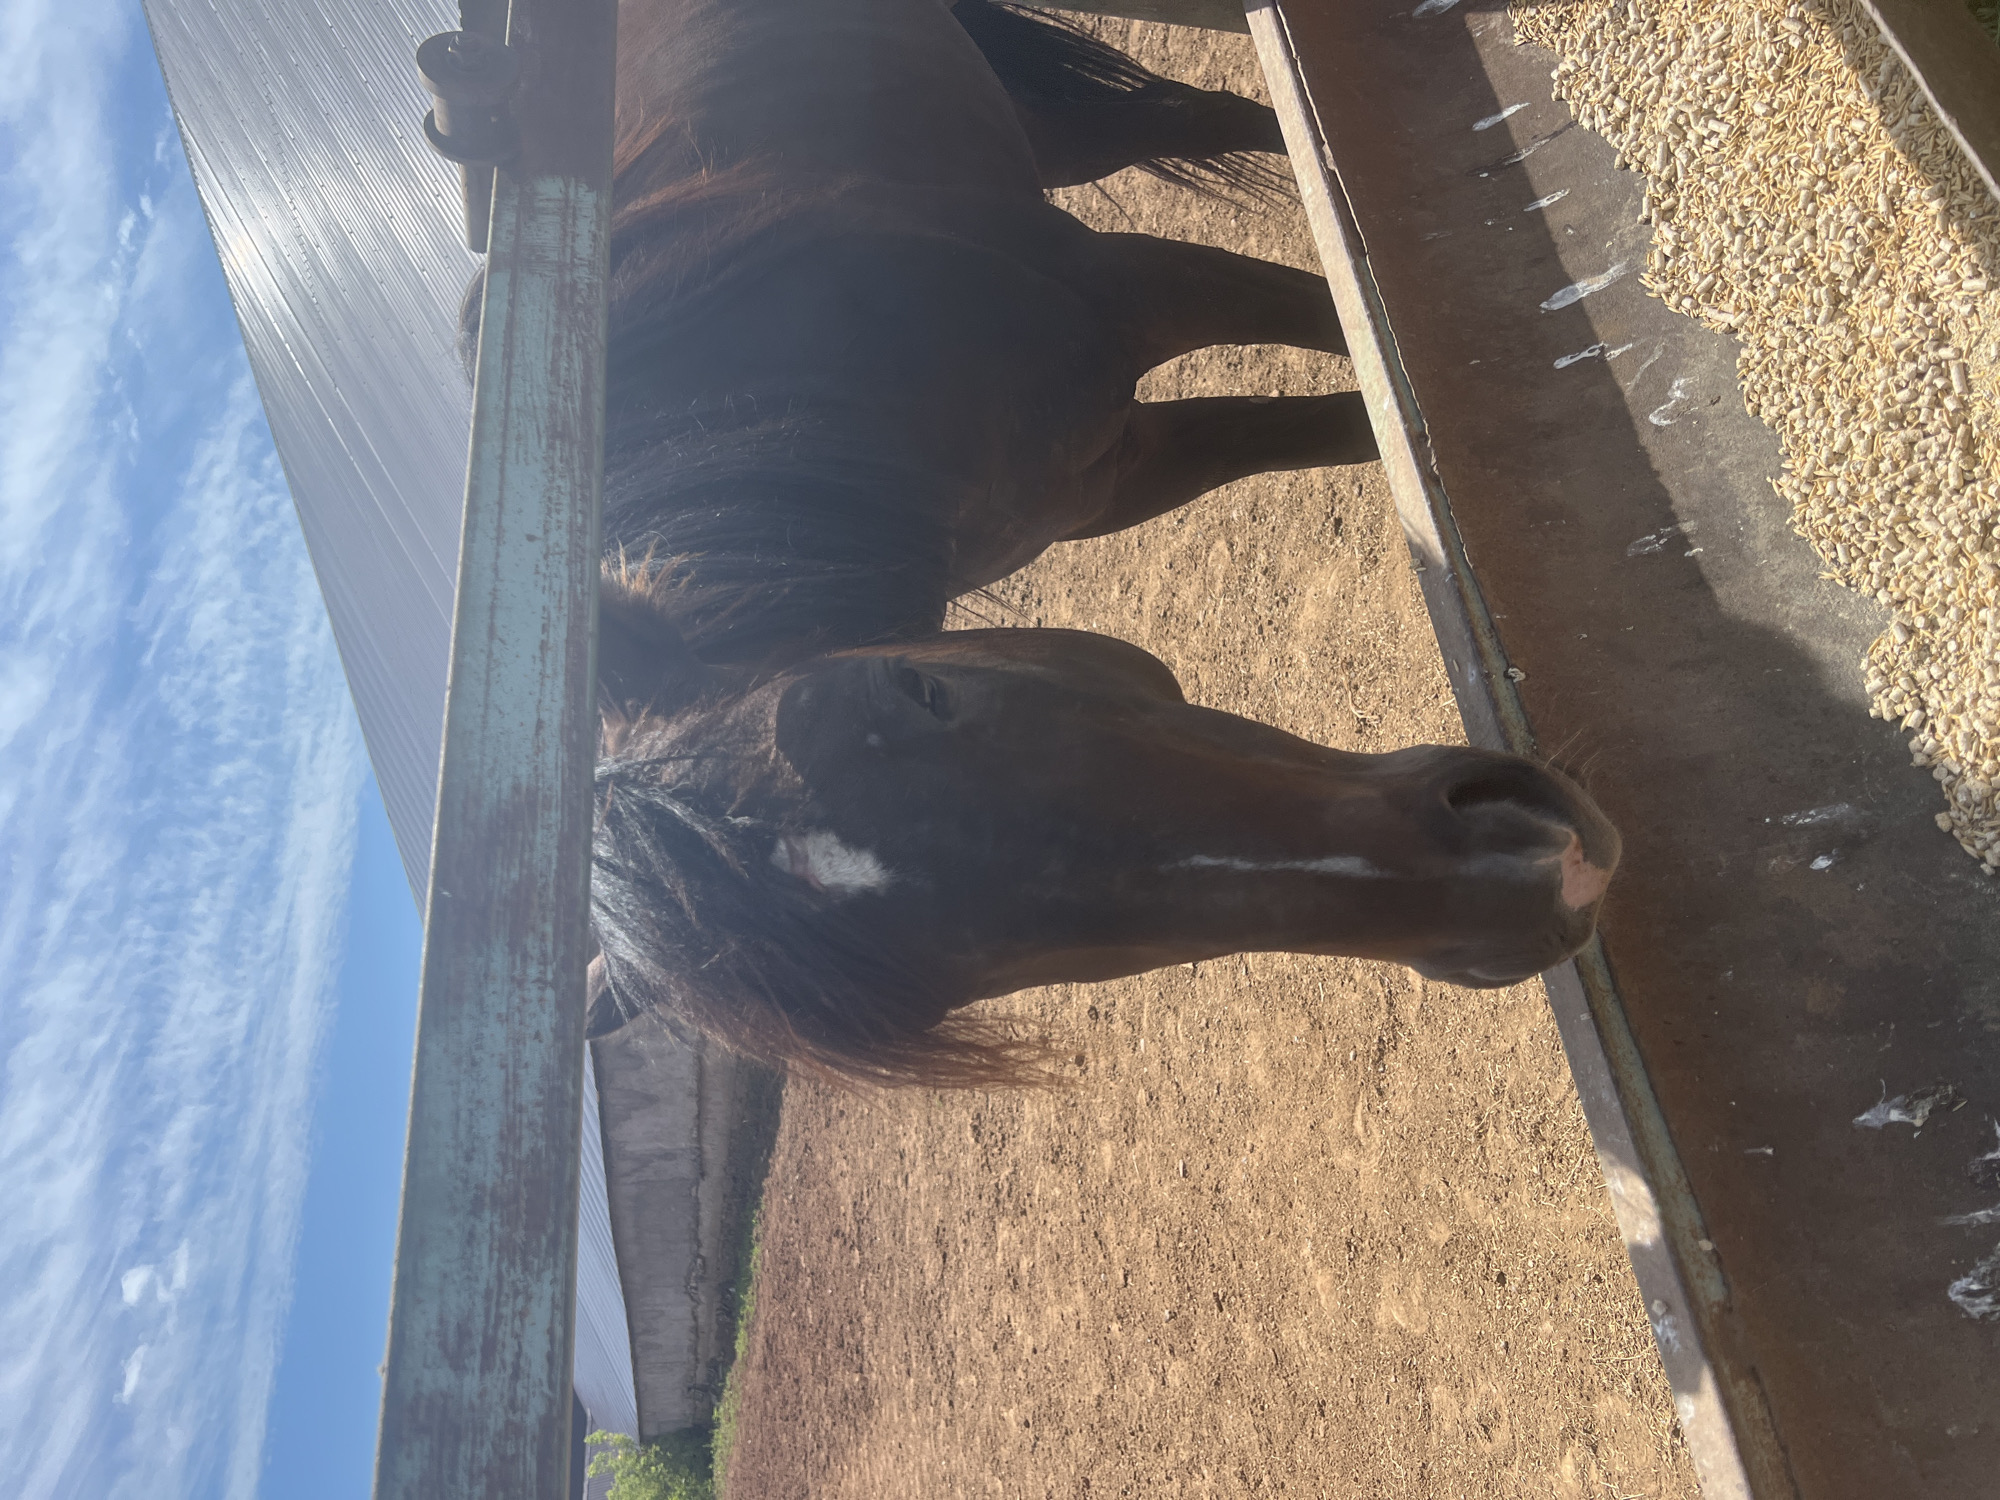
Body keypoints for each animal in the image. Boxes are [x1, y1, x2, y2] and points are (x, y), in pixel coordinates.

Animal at [478, 0, 1623, 1081]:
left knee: (1197, 119)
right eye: (948, 991)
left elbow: (1334, 329)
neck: (775, 384)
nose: (1523, 878)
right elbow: (1335, 424)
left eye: (918, 689)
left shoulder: (1133, 291)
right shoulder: (1115, 473)